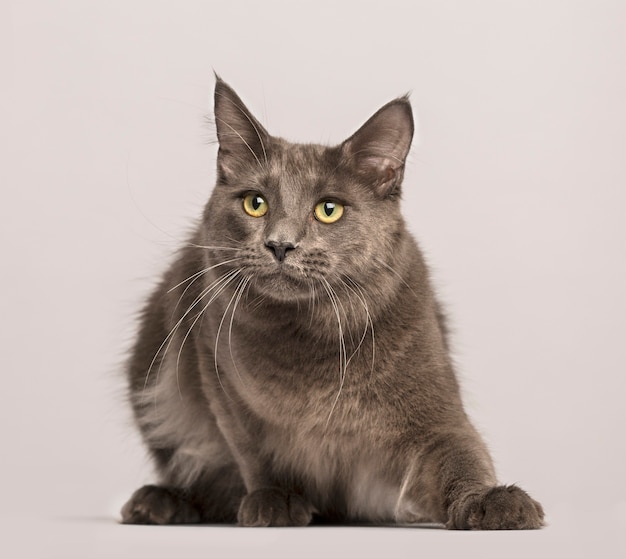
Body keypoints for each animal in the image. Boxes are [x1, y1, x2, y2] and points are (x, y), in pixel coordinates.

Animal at [120, 75, 540, 528]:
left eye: (329, 210)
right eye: (255, 203)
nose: (280, 244)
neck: (310, 344)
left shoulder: (435, 412)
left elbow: (460, 454)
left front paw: (495, 501)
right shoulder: (215, 369)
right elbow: (252, 452)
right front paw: (275, 500)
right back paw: (158, 501)